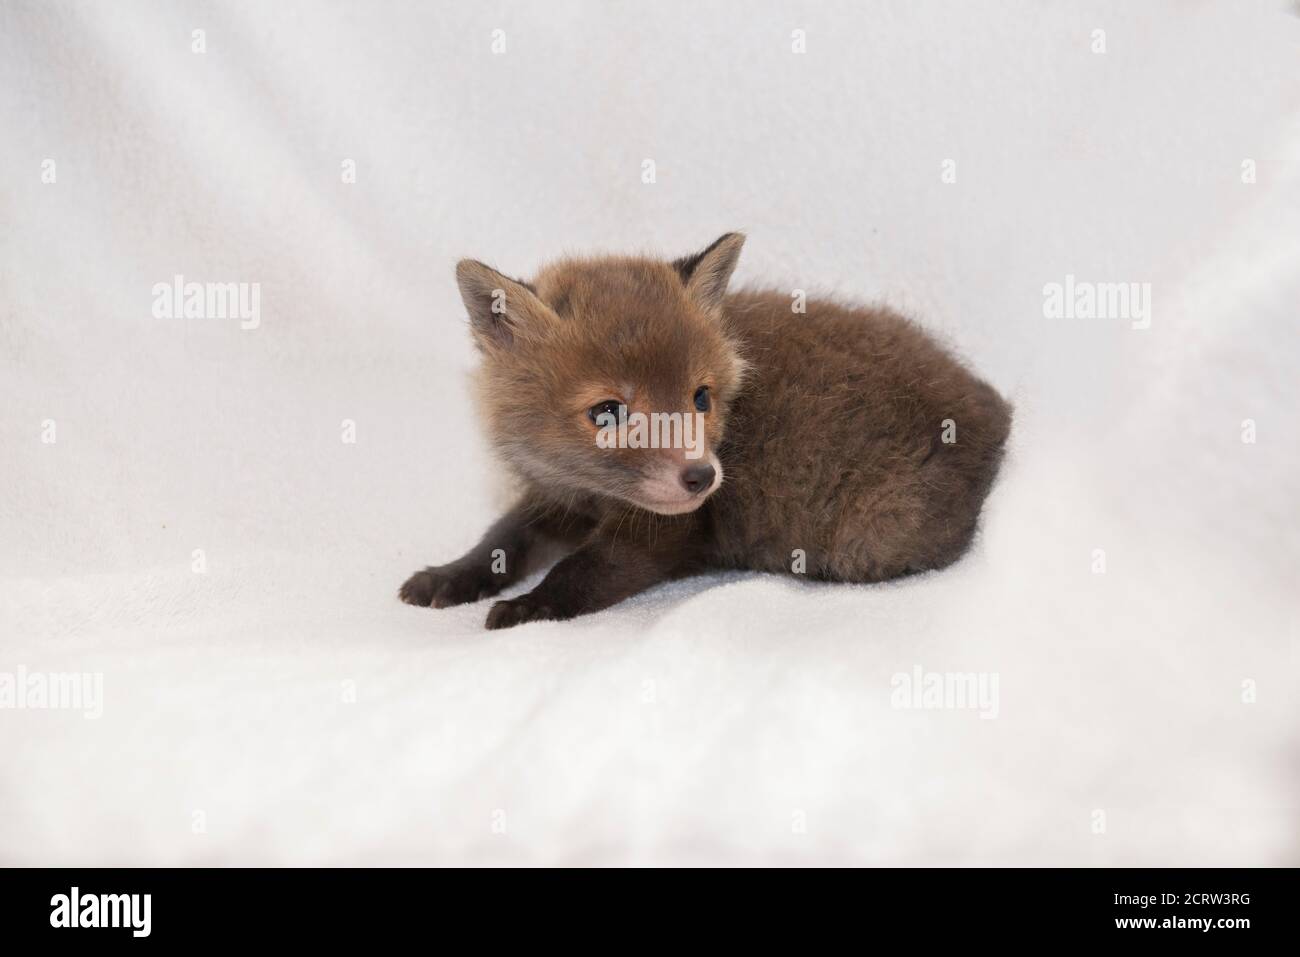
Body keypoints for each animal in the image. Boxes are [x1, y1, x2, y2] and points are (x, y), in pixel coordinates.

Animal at [400, 234, 1008, 629]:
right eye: (607, 413)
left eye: (701, 398)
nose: (701, 477)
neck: (597, 496)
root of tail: (995, 411)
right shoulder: (559, 495)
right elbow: (501, 540)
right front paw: (447, 577)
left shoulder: (665, 531)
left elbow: (585, 569)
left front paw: (528, 607)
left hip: (872, 537)